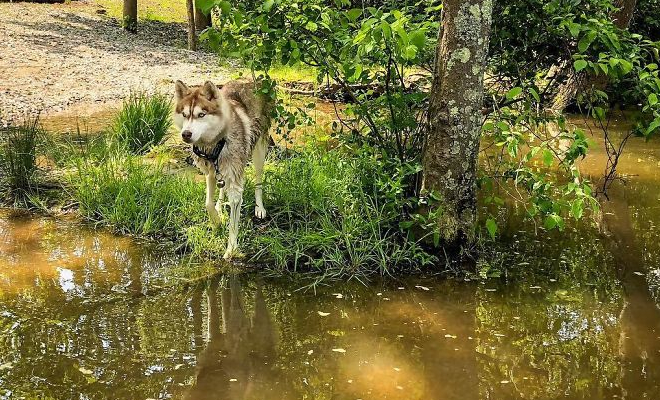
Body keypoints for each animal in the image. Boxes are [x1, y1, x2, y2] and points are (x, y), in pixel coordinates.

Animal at [174, 80, 274, 260]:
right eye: (184, 114)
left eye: (201, 114)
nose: (186, 134)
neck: (216, 143)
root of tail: (253, 81)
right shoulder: (210, 172)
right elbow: (208, 203)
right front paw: (216, 221)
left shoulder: (235, 186)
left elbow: (234, 222)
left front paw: (231, 249)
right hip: (222, 171)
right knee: (221, 188)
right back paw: (220, 207)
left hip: (259, 151)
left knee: (258, 181)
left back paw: (259, 208)